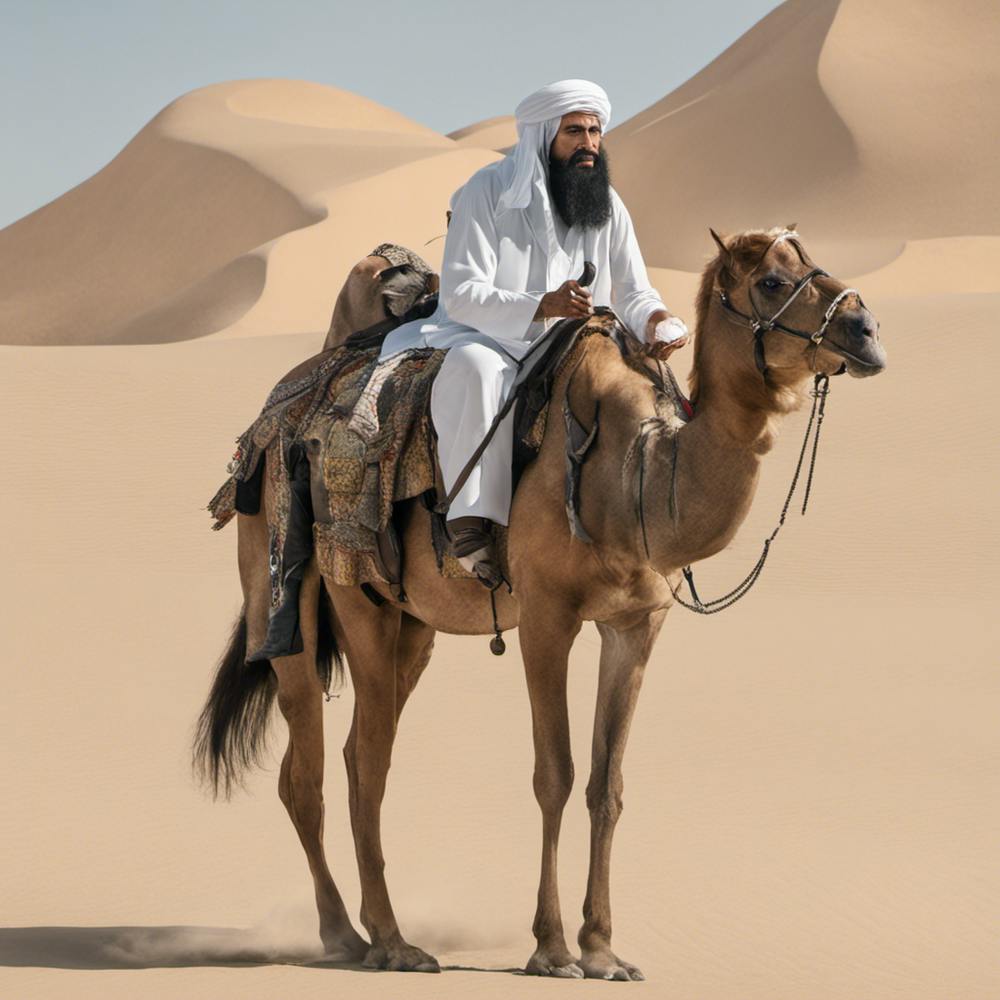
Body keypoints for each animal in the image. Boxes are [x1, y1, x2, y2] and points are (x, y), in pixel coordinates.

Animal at [194, 227, 886, 980]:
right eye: (771, 281)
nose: (865, 329)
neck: (632, 476)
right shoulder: (547, 616)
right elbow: (554, 772)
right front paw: (552, 950)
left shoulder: (635, 624)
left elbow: (607, 783)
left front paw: (604, 949)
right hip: (317, 598)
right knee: (337, 767)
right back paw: (379, 940)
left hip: (412, 626)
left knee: (348, 758)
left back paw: (358, 933)